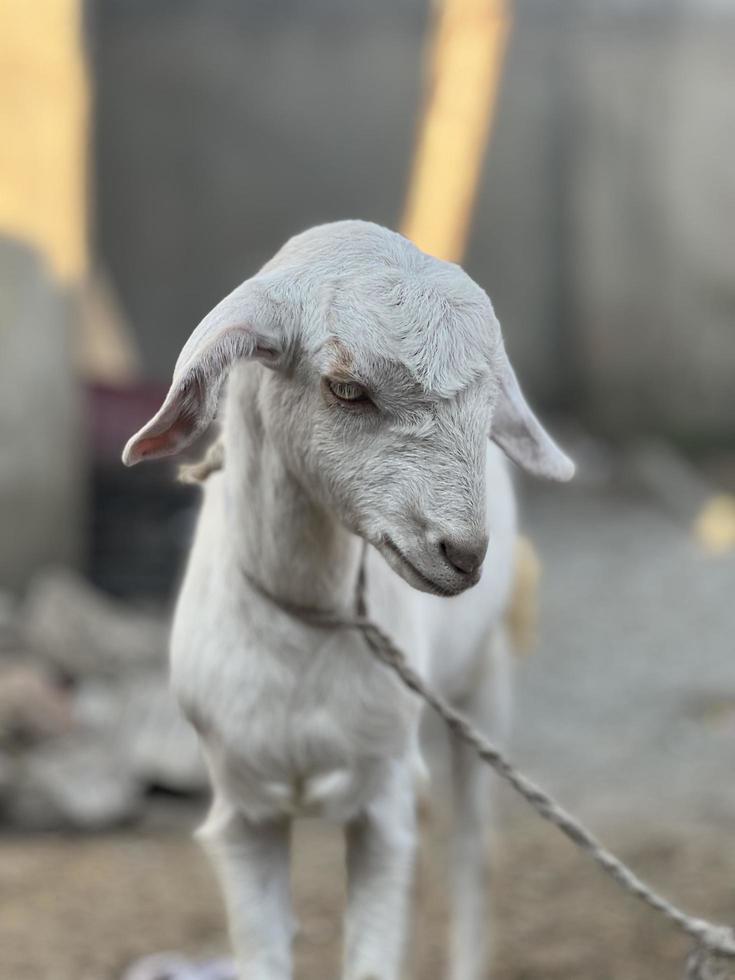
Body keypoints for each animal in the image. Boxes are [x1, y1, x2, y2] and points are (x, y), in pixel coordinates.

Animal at [123, 222, 576, 980]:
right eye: (346, 388)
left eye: (488, 402)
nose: (463, 553)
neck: (306, 627)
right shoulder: (242, 809)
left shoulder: (380, 798)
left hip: (480, 684)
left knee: (472, 855)